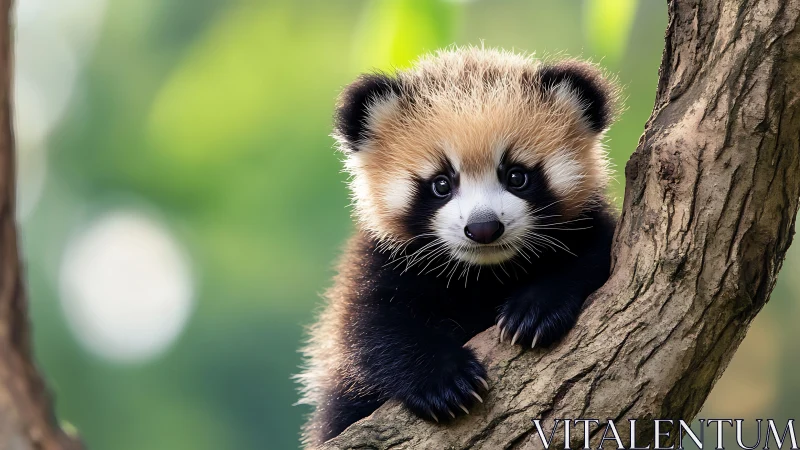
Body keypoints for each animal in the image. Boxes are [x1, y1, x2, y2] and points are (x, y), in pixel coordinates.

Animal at [296, 47, 619, 447]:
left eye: (517, 176)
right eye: (441, 184)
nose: (483, 228)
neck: (484, 272)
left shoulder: (593, 227)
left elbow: (591, 257)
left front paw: (534, 311)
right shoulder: (380, 262)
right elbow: (373, 327)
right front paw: (444, 381)